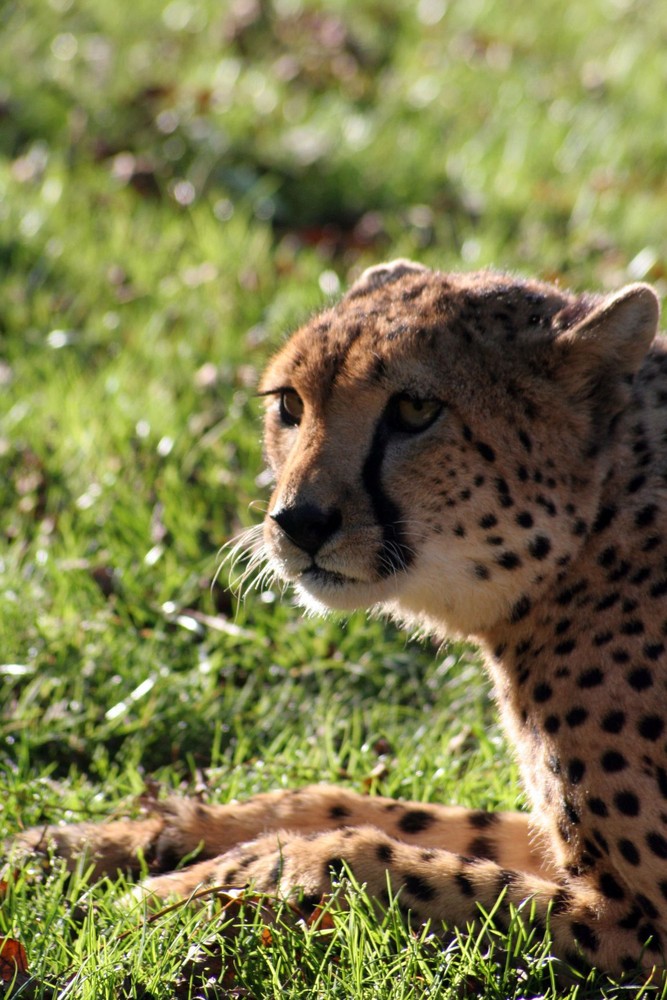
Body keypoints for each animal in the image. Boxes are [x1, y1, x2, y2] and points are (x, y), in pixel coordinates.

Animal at [14, 260, 667, 984]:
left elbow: (355, 854)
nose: (297, 522)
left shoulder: (637, 923)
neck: (590, 540)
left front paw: (172, 893)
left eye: (416, 409)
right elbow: (353, 807)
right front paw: (97, 843)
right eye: (289, 405)